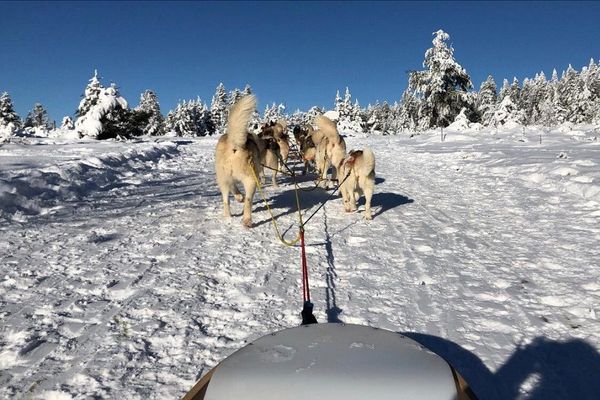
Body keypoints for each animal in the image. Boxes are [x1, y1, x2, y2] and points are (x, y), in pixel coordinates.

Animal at [217, 92, 262, 227]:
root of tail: (234, 145)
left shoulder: (228, 180)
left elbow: (234, 189)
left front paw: (238, 197)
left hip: (224, 179)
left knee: (226, 200)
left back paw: (229, 216)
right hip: (251, 179)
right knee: (248, 201)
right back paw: (247, 219)